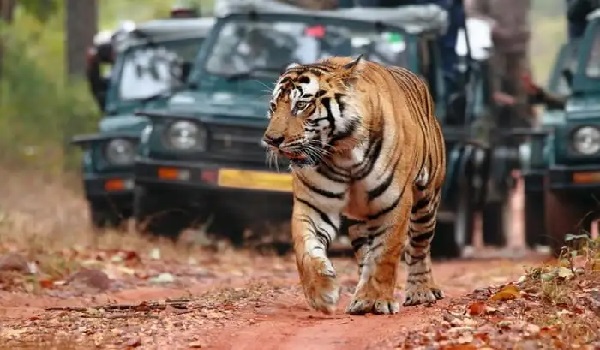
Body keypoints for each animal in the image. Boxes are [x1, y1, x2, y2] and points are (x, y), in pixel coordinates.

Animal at [262, 56, 446, 316]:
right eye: (273, 106)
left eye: (301, 105)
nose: (271, 140)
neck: (343, 153)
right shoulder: (314, 205)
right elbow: (305, 249)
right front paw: (322, 294)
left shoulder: (394, 204)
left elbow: (385, 254)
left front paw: (378, 299)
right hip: (362, 220)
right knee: (364, 250)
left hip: (426, 201)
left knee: (419, 246)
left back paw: (421, 291)